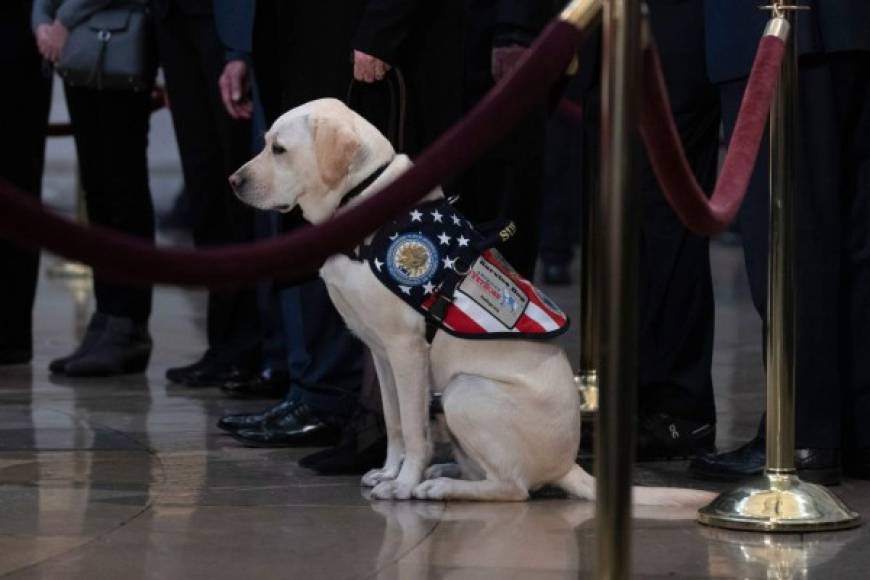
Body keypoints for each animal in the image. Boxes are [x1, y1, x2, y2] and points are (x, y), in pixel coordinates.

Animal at [232, 97, 716, 506]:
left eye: (279, 149)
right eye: (265, 143)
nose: (234, 182)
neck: (363, 204)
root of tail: (569, 466)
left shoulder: (407, 350)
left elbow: (413, 430)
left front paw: (402, 484)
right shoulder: (380, 352)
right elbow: (394, 422)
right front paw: (389, 472)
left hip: (464, 390)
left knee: (513, 488)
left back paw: (438, 486)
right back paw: (445, 472)